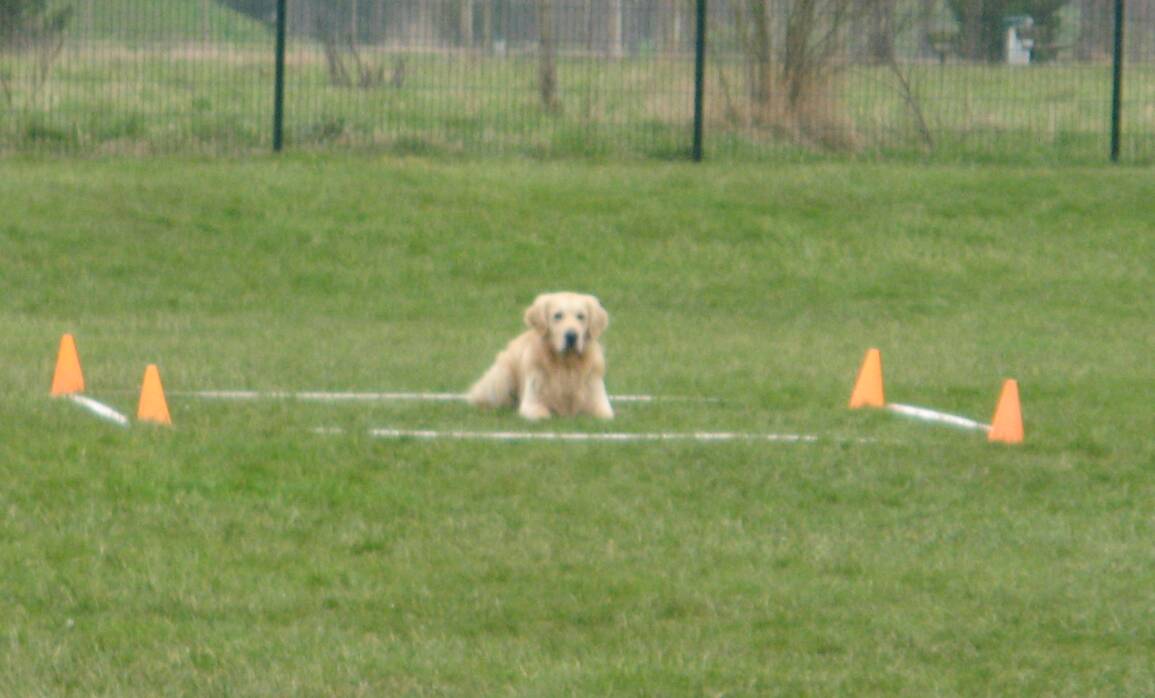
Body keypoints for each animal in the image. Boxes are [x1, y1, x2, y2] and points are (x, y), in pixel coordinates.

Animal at [466, 290, 614, 420]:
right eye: (557, 315)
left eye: (581, 316)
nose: (572, 336)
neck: (566, 365)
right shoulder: (532, 404)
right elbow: (544, 415)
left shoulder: (601, 405)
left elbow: (604, 415)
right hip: (502, 377)